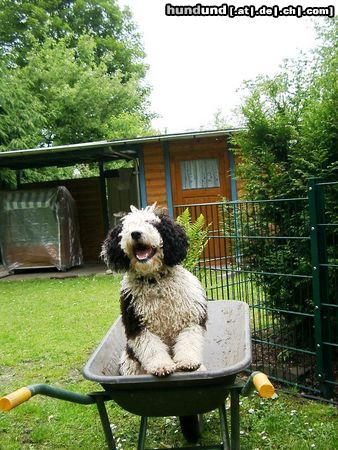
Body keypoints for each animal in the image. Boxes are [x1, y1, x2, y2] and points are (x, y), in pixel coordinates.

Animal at [100, 204, 207, 376]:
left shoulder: (191, 320)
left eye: (151, 223)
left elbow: (188, 341)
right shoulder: (138, 325)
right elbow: (152, 347)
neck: (155, 282)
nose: (135, 233)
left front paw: (187, 362)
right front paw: (161, 365)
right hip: (129, 363)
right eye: (127, 226)